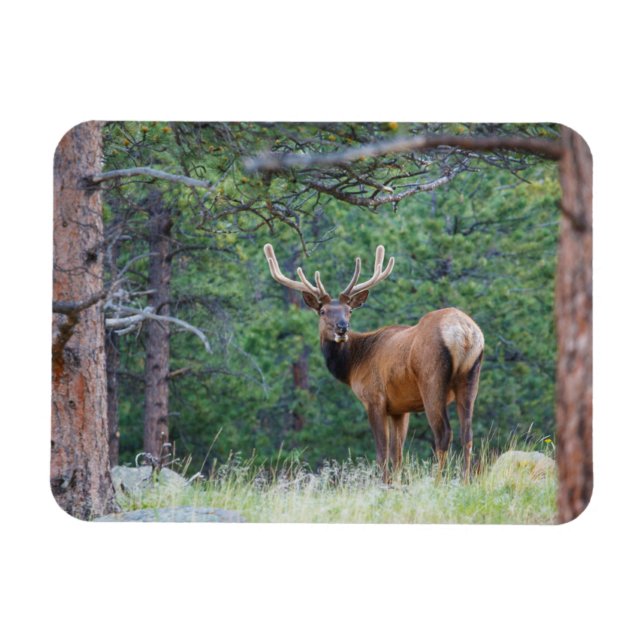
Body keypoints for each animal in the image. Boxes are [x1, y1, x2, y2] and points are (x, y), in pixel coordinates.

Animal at [263, 243, 484, 483]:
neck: (353, 365)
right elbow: (398, 454)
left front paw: (384, 484)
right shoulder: (399, 408)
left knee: (443, 433)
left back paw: (437, 483)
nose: (342, 327)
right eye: (323, 311)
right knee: (467, 433)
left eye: (349, 310)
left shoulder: (374, 398)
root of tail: (465, 333)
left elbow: (382, 453)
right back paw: (465, 481)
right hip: (471, 378)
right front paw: (396, 484)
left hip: (432, 379)